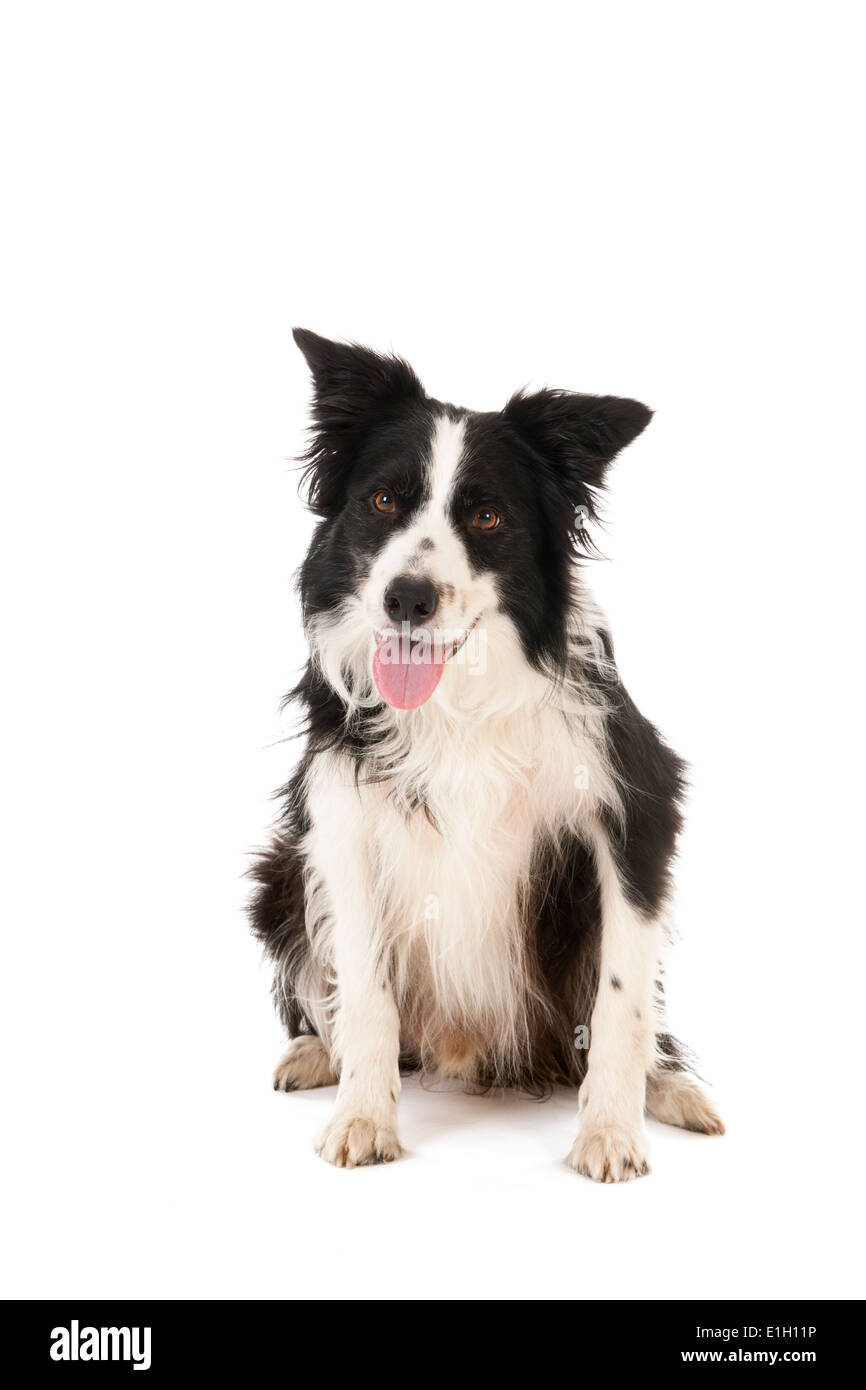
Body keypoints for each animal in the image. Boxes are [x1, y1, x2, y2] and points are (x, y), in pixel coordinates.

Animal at [250, 330, 722, 1178]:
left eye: (487, 515)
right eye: (382, 502)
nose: (407, 598)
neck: (457, 700)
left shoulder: (635, 810)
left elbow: (622, 1000)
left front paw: (611, 1132)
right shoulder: (340, 823)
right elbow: (365, 993)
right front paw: (363, 1117)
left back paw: (674, 1092)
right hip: (279, 880)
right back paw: (317, 1055)